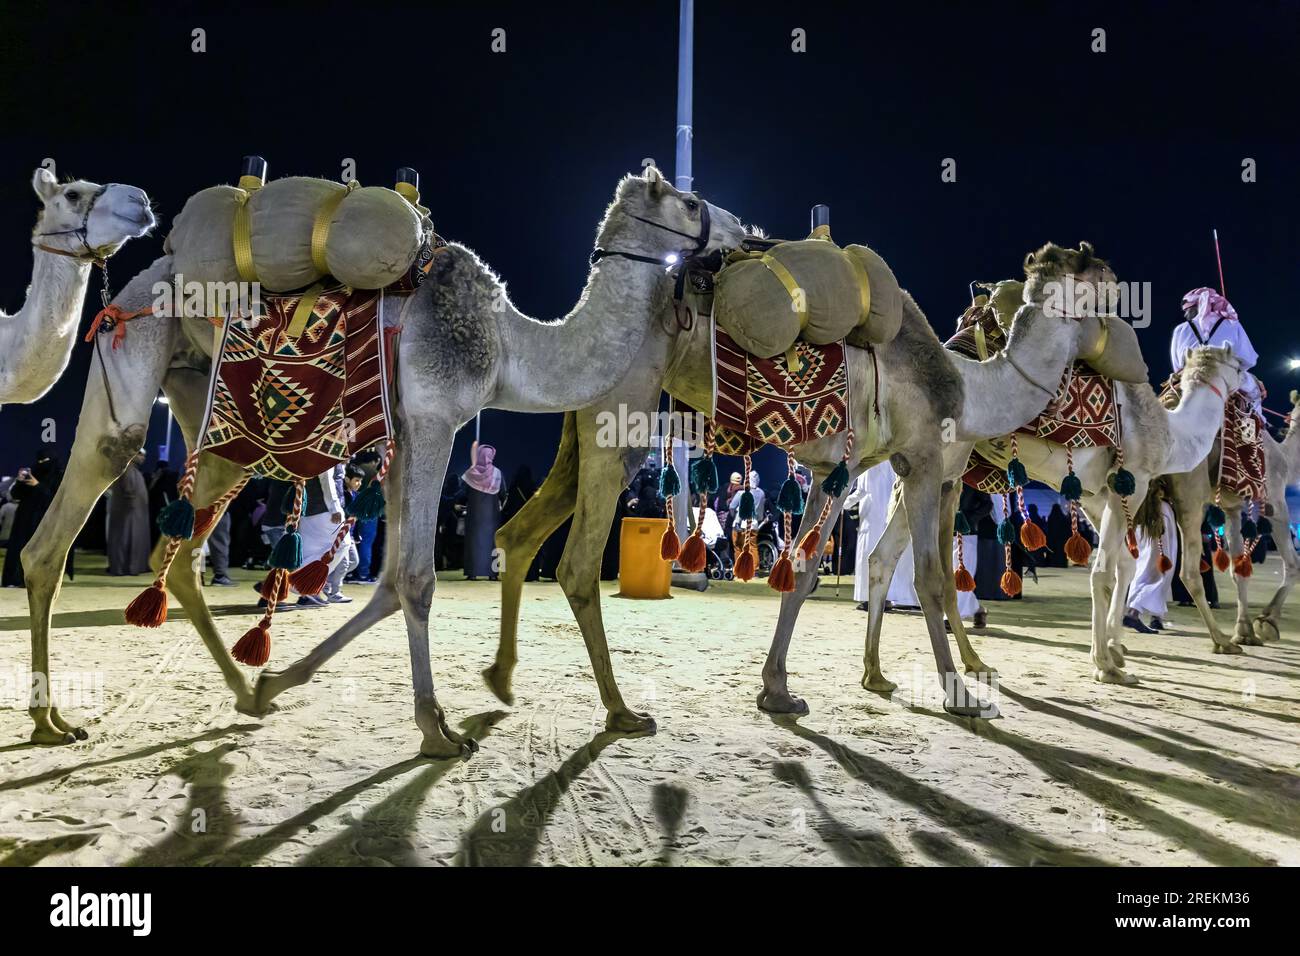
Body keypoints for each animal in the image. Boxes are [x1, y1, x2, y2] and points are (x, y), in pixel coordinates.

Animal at [19, 166, 746, 752]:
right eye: (689, 200)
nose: (744, 231)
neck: (512, 347)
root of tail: (143, 278)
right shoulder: (434, 419)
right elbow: (418, 578)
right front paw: (438, 731)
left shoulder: (406, 435)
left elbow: (394, 579)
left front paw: (282, 682)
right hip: (137, 351)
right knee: (69, 520)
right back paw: (51, 721)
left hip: (212, 405)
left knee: (180, 554)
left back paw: (244, 692)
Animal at [480, 243, 1111, 724]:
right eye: (1085, 269)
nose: (1115, 295)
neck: (969, 385)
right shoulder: (925, 461)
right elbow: (932, 580)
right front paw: (962, 695)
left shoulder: (843, 469)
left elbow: (803, 573)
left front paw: (780, 690)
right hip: (621, 416)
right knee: (577, 563)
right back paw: (620, 710)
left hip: (582, 420)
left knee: (519, 535)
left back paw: (501, 680)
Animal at [1165, 389, 1300, 650]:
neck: (1287, 459)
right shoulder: (1275, 502)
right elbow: (1294, 564)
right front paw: (1267, 623)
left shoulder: (1232, 509)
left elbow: (1238, 570)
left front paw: (1245, 631)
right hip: (1191, 493)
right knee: (1188, 571)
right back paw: (1221, 641)